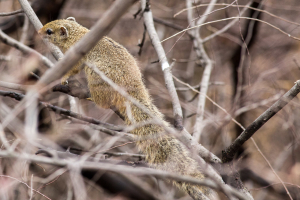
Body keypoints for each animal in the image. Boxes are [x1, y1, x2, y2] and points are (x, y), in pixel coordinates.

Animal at [38, 18, 213, 199]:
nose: (38, 33)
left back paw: (90, 96)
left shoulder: (78, 57)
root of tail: (132, 86)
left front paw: (63, 77)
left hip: (96, 77)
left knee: (102, 101)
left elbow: (73, 69)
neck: (77, 35)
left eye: (49, 31)